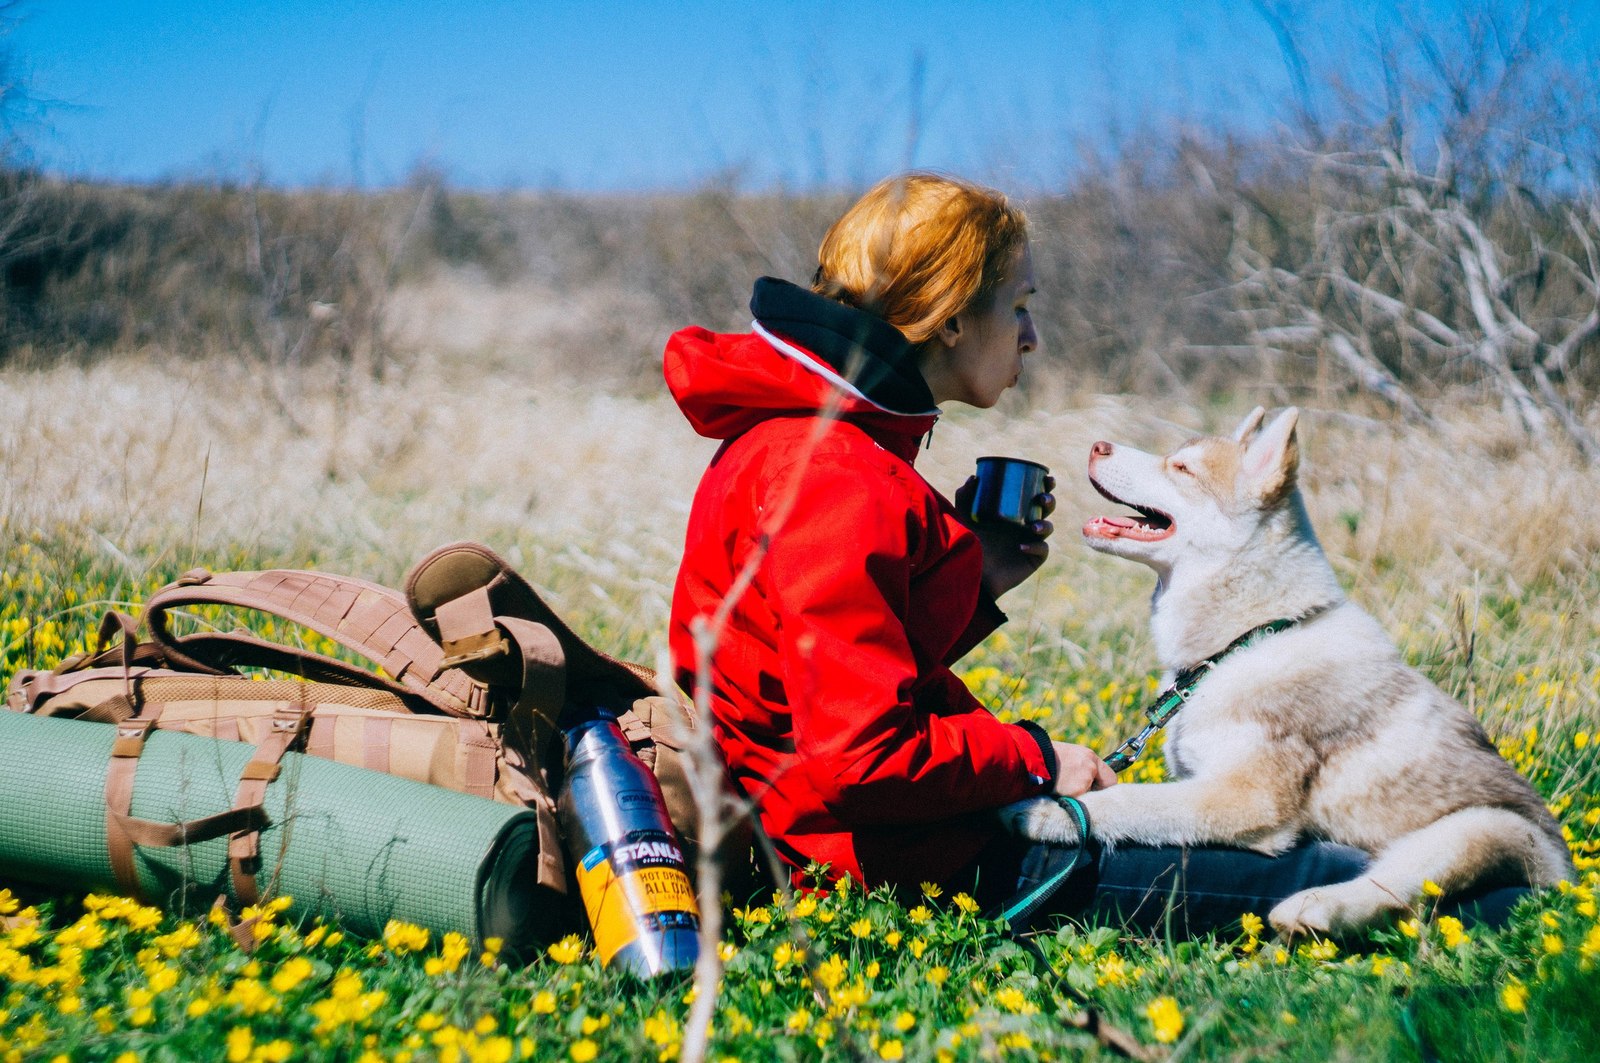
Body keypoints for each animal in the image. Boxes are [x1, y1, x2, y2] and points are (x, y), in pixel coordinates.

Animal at [1004, 406, 1568, 928]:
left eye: (1182, 467)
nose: (1097, 445)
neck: (1246, 640)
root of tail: (1566, 875)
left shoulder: (1247, 798)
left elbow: (1128, 802)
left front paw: (1044, 810)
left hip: (1481, 829)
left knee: (1396, 888)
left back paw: (1313, 908)